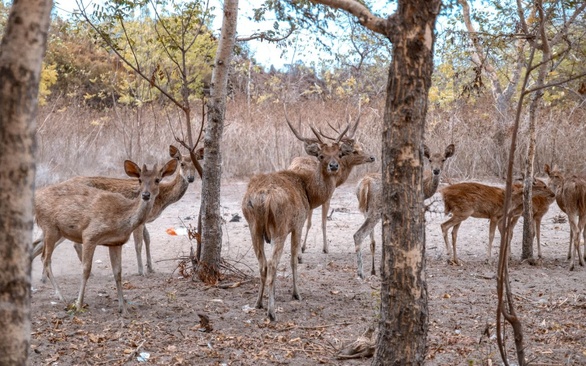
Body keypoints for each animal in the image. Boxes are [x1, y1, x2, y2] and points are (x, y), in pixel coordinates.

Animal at [33, 144, 205, 276]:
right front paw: (141, 271)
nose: (191, 178)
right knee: (67, 244)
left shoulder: (144, 220)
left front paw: (151, 268)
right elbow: (139, 243)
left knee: (40, 242)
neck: (162, 198)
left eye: (195, 164)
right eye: (182, 164)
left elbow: (148, 239)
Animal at [33, 158, 176, 314]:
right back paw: (61, 296)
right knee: (45, 259)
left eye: (157, 180)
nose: (145, 195)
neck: (122, 217)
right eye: (140, 179)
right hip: (50, 227)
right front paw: (79, 305)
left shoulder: (116, 243)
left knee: (42, 255)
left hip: (55, 231)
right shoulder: (90, 235)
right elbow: (86, 270)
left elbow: (118, 273)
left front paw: (123, 308)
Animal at [241, 112, 352, 320]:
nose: (334, 166)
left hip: (253, 226)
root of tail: (264, 197)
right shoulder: (298, 224)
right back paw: (272, 312)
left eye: (339, 154)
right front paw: (297, 293)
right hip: (280, 226)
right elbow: (294, 259)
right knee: (273, 263)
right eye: (321, 155)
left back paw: (258, 303)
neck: (308, 192)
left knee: (261, 264)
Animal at [286, 113, 374, 258]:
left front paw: (303, 247)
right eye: (355, 151)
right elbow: (322, 222)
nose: (372, 157)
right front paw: (324, 248)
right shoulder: (326, 197)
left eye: (362, 147)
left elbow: (309, 222)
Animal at [350, 143, 454, 278]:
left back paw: (370, 271)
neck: (425, 190)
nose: (436, 171)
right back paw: (361, 273)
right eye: (430, 159)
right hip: (376, 209)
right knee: (359, 234)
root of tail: (365, 183)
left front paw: (382, 268)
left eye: (443, 159)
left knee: (369, 237)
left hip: (365, 210)